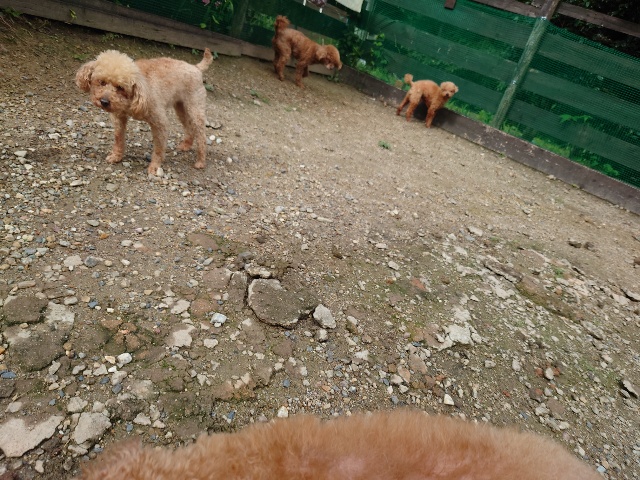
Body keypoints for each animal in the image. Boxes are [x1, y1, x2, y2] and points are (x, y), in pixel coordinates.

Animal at [75, 48, 213, 175]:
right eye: (102, 82)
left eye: (120, 87)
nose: (104, 101)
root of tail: (195, 67)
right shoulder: (119, 117)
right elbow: (118, 138)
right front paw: (116, 156)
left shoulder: (160, 122)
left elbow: (158, 148)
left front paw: (155, 167)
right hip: (181, 107)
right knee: (189, 127)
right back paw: (186, 145)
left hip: (195, 107)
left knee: (201, 135)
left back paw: (200, 161)